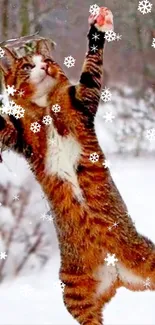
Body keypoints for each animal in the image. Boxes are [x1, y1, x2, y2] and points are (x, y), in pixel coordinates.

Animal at [0, 7, 155, 324]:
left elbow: (91, 68)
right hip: (75, 293)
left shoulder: (83, 99)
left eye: (48, 61)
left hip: (148, 259)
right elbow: (4, 127)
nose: (44, 66)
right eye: (27, 66)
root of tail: (117, 274)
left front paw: (98, 26)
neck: (46, 107)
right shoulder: (19, 136)